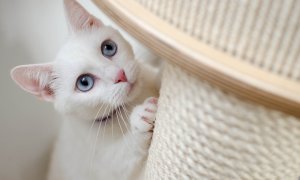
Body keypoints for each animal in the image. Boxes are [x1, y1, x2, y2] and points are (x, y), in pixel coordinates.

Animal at [10, 0, 158, 179]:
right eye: (84, 83)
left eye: (108, 48)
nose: (120, 75)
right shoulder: (105, 164)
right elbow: (124, 156)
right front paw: (141, 118)